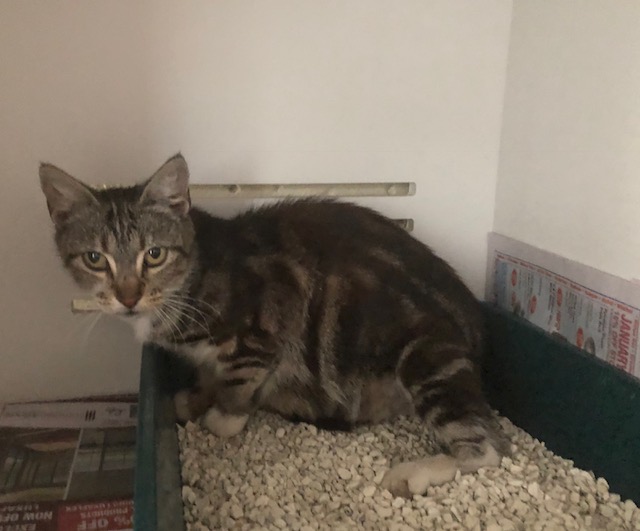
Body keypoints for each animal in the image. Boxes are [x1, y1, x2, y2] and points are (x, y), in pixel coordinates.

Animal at [40, 154, 509, 497]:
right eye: (95, 259)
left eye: (154, 254)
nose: (128, 296)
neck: (191, 276)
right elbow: (210, 373)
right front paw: (194, 398)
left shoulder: (265, 328)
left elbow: (236, 387)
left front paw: (221, 418)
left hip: (426, 354)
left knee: (486, 450)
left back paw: (416, 472)